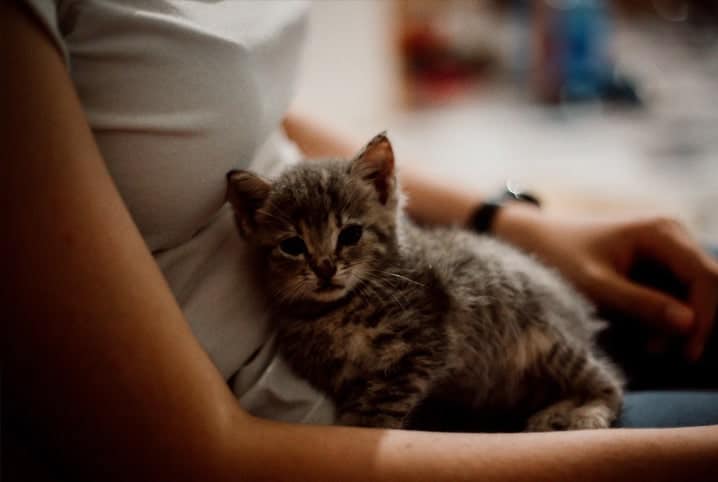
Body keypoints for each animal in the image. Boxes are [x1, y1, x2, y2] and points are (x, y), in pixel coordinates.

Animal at [226, 134, 624, 432]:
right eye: (292, 245)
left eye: (351, 234)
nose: (325, 268)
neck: (335, 313)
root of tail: (577, 310)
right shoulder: (341, 376)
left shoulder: (422, 345)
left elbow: (377, 414)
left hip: (546, 340)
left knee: (611, 383)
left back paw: (583, 414)